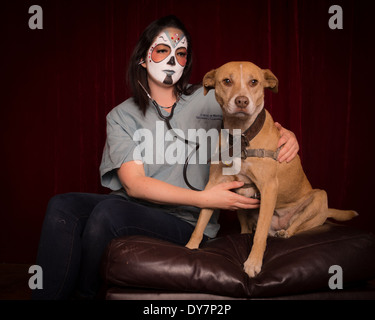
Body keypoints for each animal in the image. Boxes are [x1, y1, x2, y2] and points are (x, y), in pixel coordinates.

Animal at [186, 62, 358, 278]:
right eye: (226, 81)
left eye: (254, 82)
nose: (242, 101)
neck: (241, 135)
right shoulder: (214, 186)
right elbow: (201, 221)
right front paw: (190, 247)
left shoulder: (268, 189)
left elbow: (259, 234)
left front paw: (253, 263)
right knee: (246, 229)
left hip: (319, 197)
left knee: (295, 226)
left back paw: (285, 232)